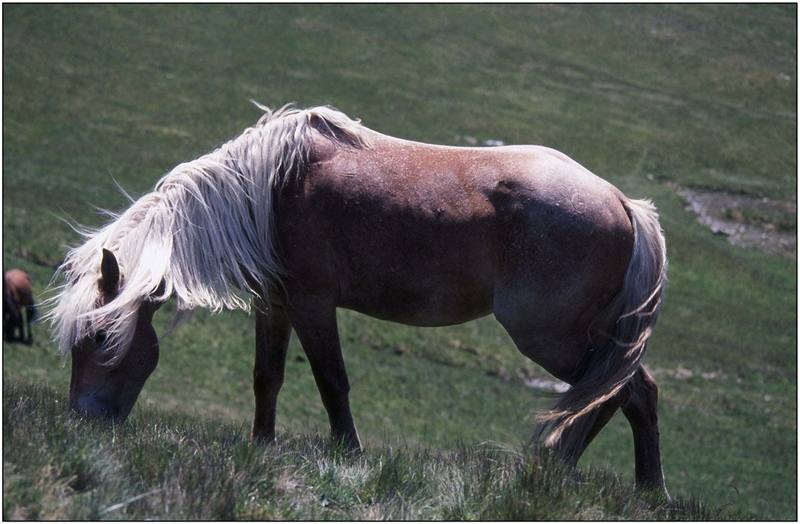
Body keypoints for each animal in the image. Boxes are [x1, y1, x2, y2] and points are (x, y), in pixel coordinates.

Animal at [45, 105, 668, 496]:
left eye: (97, 337)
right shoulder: (275, 305)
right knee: (625, 393)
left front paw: (349, 454)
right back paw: (630, 486)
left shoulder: (313, 304)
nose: (83, 420)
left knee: (620, 391)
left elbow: (331, 381)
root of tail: (624, 203)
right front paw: (261, 446)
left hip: (549, 337)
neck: (265, 195)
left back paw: (574, 474)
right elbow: (266, 377)